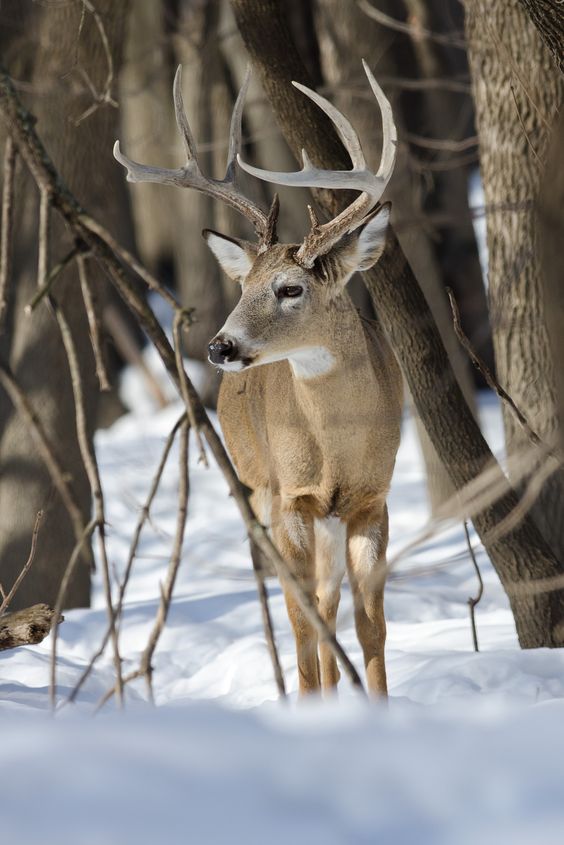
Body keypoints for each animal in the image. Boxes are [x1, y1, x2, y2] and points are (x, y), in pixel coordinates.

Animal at [114, 57, 404, 692]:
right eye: (243, 286)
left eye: (290, 288)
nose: (220, 346)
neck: (339, 446)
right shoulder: (291, 495)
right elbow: (301, 624)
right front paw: (315, 699)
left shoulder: (373, 498)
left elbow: (372, 625)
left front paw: (376, 703)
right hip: (262, 487)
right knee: (307, 608)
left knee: (328, 603)